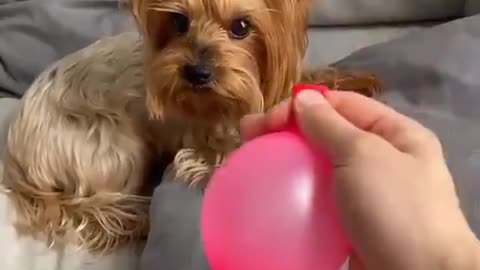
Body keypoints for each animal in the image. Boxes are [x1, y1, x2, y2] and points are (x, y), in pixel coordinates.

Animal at [0, 0, 382, 255]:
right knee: (92, 204)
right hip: (111, 146)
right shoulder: (204, 146)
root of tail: (15, 158)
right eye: (178, 22)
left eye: (241, 27)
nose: (197, 73)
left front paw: (351, 81)